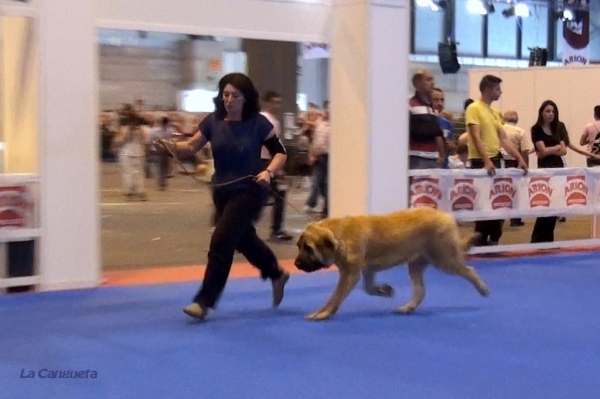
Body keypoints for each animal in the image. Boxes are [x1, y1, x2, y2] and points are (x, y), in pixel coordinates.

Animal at [292, 206, 490, 322]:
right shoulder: (367, 271)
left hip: (444, 259)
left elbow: (335, 296)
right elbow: (368, 288)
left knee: (469, 270)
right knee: (420, 291)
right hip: (416, 265)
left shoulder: (350, 274)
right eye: (299, 246)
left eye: (308, 248)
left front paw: (323, 313)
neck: (339, 235)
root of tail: (447, 216)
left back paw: (483, 288)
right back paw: (407, 307)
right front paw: (385, 290)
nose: (296, 263)